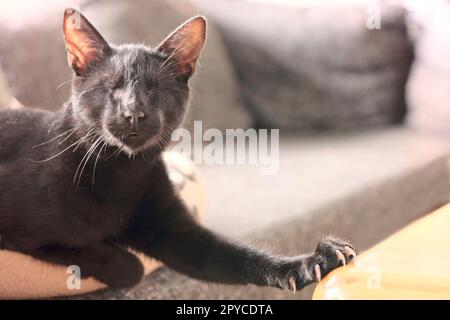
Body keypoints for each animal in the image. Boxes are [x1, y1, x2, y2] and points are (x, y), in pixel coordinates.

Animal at [0, 8, 356, 292]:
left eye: (155, 90)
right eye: (111, 88)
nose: (133, 112)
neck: (122, 172)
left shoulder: (176, 234)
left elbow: (239, 257)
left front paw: (311, 262)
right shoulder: (24, 233)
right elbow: (125, 265)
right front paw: (116, 252)